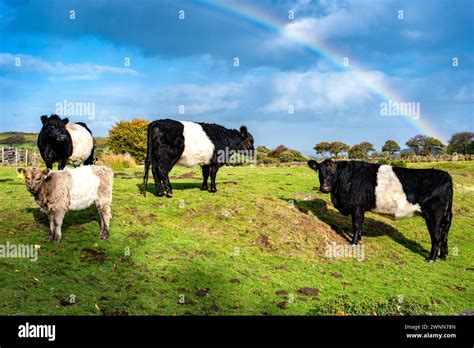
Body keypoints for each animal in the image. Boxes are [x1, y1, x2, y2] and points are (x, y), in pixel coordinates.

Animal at [308, 159, 452, 262]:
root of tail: (445, 174)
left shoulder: (356, 207)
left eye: (334, 173)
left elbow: (356, 225)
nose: (325, 188)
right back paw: (442, 256)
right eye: (320, 172)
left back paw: (431, 258)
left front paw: (353, 243)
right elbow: (360, 225)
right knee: (444, 233)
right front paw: (359, 239)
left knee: (437, 235)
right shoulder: (361, 208)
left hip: (434, 215)